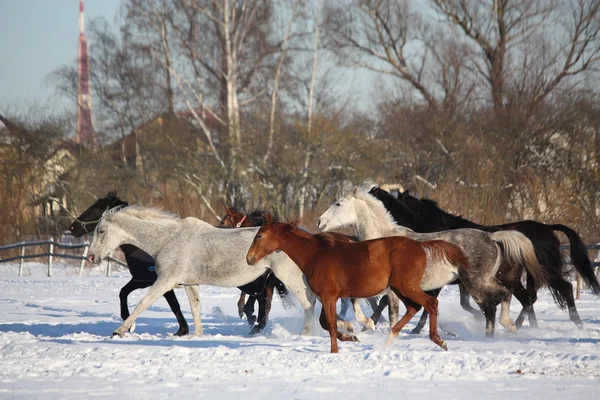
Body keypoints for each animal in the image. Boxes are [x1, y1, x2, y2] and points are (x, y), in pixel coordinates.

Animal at [86, 205, 322, 336]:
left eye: (101, 231)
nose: (91, 257)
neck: (168, 239)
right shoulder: (190, 284)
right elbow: (195, 308)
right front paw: (196, 335)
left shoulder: (165, 281)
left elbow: (143, 303)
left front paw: (120, 330)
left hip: (289, 277)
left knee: (308, 302)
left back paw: (306, 333)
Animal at [245, 214, 468, 354]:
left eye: (259, 236)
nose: (249, 259)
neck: (316, 255)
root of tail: (421, 246)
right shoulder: (327, 296)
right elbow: (326, 322)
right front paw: (352, 336)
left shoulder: (329, 295)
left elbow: (331, 324)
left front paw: (335, 350)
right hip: (400, 288)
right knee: (414, 307)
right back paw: (390, 338)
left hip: (407, 287)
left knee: (430, 304)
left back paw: (439, 341)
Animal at [318, 188, 548, 338]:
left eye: (338, 203)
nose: (320, 222)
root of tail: (492, 238)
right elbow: (368, 304)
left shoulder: (386, 289)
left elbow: (381, 309)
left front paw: (369, 325)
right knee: (502, 299)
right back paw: (507, 327)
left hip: (476, 282)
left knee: (494, 303)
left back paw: (496, 332)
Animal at [370, 186, 600, 330]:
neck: (433, 227)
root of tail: (548, 229)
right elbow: (461, 303)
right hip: (524, 276)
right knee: (529, 298)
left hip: (544, 271)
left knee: (562, 290)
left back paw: (575, 323)